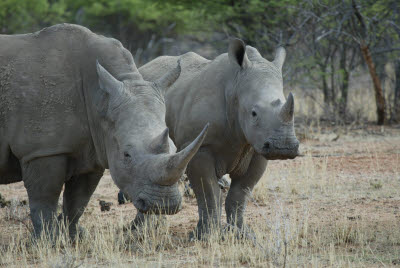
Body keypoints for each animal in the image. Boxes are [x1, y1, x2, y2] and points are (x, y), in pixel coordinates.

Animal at [0, 24, 208, 239]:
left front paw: (74, 237)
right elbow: (45, 199)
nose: (164, 205)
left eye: (175, 149)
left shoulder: (92, 149)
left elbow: (78, 200)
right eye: (126, 154)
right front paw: (47, 240)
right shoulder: (42, 150)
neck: (99, 98)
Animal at [139, 38, 298, 238]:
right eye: (253, 113)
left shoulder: (258, 148)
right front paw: (205, 236)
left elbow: (240, 193)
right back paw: (141, 229)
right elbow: (209, 193)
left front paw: (241, 234)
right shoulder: (200, 147)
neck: (236, 87)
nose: (284, 148)